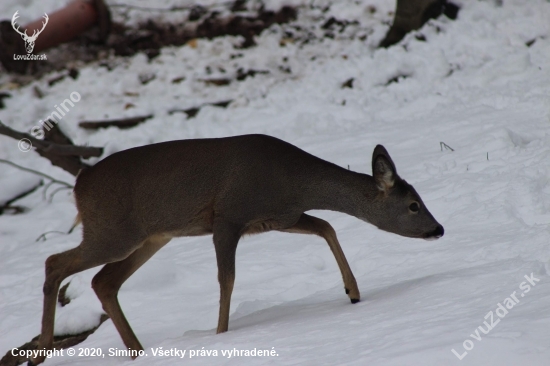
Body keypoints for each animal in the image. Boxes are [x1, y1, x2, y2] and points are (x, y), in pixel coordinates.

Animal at [30, 135, 444, 366]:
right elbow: (226, 279)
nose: (438, 229)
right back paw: (43, 350)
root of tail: (80, 183)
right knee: (54, 262)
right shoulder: (227, 217)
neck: (293, 183)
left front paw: (353, 292)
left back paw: (137, 351)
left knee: (103, 281)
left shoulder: (278, 218)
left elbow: (327, 226)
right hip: (113, 232)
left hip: (150, 237)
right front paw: (221, 336)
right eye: (413, 205)